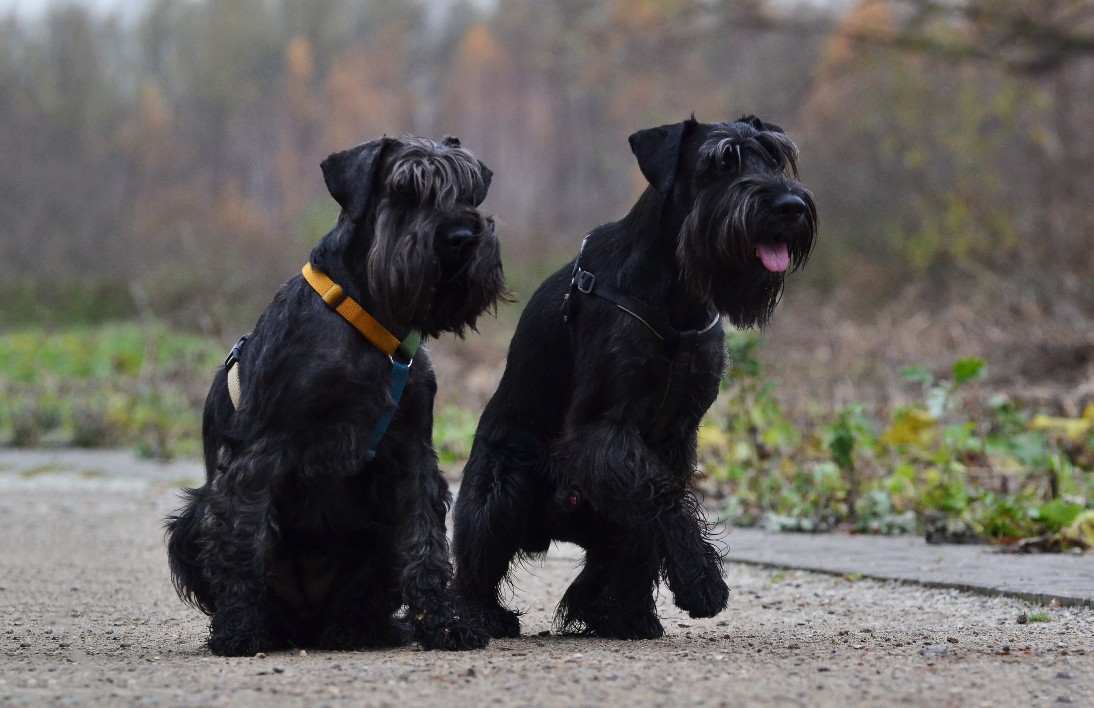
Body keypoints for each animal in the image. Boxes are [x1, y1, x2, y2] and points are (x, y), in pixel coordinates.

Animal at [166, 135, 508, 656]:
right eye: (405, 189)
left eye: (469, 191)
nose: (463, 236)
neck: (373, 323)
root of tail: (309, 620)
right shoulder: (262, 452)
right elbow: (243, 541)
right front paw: (238, 630)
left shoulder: (413, 455)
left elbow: (426, 545)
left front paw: (445, 625)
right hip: (189, 522)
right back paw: (269, 626)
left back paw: (358, 628)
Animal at [453, 116, 817, 639]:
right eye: (721, 161)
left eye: (776, 157)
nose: (790, 205)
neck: (677, 294)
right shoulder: (603, 428)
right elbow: (660, 498)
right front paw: (702, 584)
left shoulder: (678, 436)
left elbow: (657, 511)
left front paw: (637, 608)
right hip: (499, 491)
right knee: (473, 568)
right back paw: (481, 616)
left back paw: (616, 612)